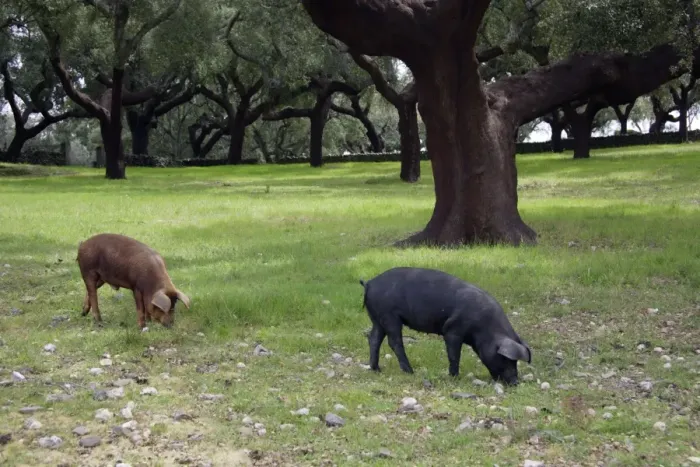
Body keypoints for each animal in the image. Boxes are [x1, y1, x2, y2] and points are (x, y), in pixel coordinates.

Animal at [360, 267, 531, 385]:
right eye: (506, 359)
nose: (515, 382)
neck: (485, 327)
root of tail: (369, 283)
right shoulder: (452, 330)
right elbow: (454, 354)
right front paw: (454, 377)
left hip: (377, 318)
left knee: (373, 338)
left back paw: (376, 369)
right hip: (389, 316)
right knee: (394, 342)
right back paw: (410, 371)